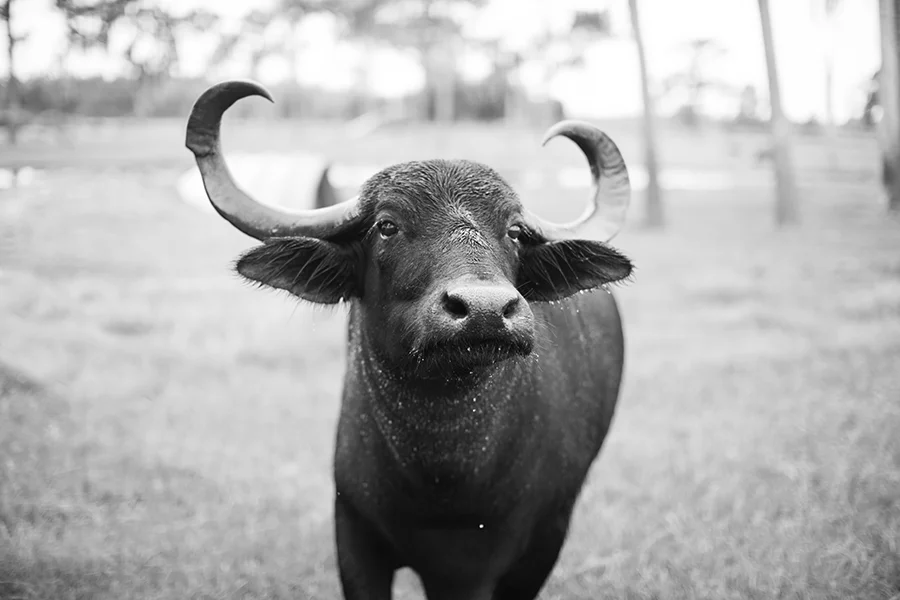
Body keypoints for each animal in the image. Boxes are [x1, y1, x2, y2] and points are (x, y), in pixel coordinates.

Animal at [185, 80, 634, 600]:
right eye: (387, 226)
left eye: (515, 232)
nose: (485, 310)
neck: (438, 476)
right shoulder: (353, 538)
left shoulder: (512, 555)